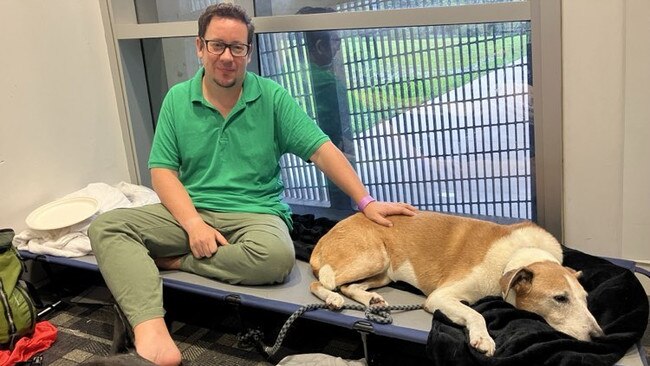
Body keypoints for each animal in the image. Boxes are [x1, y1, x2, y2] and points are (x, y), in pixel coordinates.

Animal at [308, 210, 604, 356]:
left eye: (586, 300)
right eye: (559, 298)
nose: (600, 337)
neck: (517, 256)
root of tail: (325, 237)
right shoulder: (441, 297)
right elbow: (476, 314)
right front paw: (483, 339)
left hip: (384, 271)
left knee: (350, 286)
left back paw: (374, 300)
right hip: (373, 257)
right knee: (324, 283)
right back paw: (332, 298)